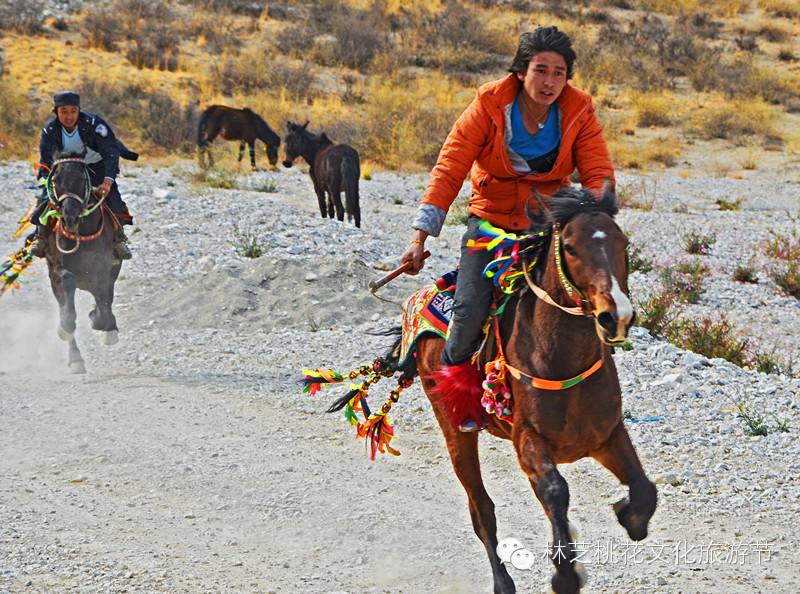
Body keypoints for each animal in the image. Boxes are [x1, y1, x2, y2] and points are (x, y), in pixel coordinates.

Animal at [42, 150, 121, 372]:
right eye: (56, 180)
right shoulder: (56, 269)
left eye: (81, 179)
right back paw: (75, 358)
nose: (69, 217)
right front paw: (66, 328)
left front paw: (98, 320)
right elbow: (67, 296)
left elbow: (104, 309)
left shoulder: (104, 270)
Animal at [416, 183, 652, 588]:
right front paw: (566, 574)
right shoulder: (528, 439)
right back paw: (503, 583)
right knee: (482, 509)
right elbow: (556, 490)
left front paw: (628, 515)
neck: (562, 357)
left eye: (623, 242)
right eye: (570, 247)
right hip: (455, 430)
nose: (616, 316)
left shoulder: (607, 436)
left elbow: (644, 489)